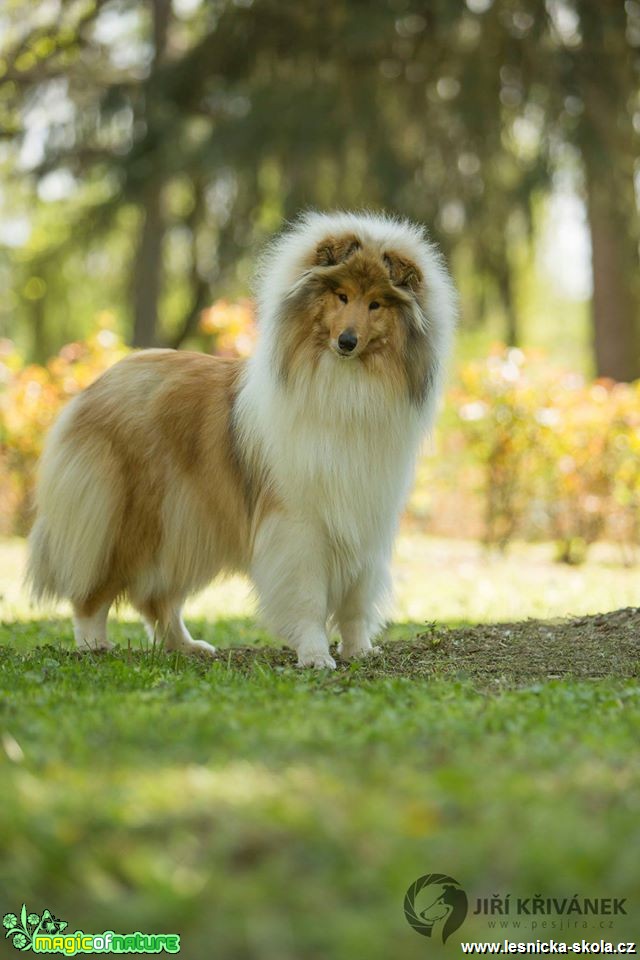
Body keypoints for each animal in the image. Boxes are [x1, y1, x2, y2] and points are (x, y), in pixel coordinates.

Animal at [26, 213, 456, 668]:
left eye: (376, 303)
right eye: (341, 296)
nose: (347, 342)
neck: (345, 386)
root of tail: (96, 385)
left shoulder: (366, 518)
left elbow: (356, 600)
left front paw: (359, 652)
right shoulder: (299, 523)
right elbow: (308, 598)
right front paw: (316, 656)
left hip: (182, 524)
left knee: (157, 598)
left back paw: (186, 646)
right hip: (125, 520)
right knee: (92, 590)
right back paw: (94, 644)